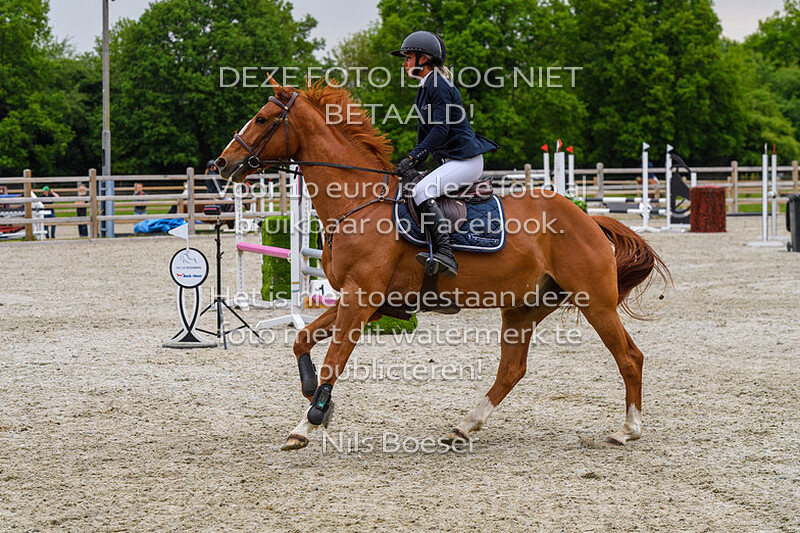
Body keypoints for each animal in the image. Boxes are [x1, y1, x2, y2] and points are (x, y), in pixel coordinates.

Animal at [215, 78, 670, 451]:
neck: (358, 202)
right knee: (512, 369)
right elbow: (302, 339)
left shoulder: (361, 299)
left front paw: (307, 423)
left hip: (595, 302)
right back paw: (464, 427)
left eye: (261, 119)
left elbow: (335, 358)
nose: (221, 164)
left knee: (629, 357)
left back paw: (628, 430)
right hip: (523, 307)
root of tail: (588, 218)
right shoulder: (361, 301)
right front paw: (317, 398)